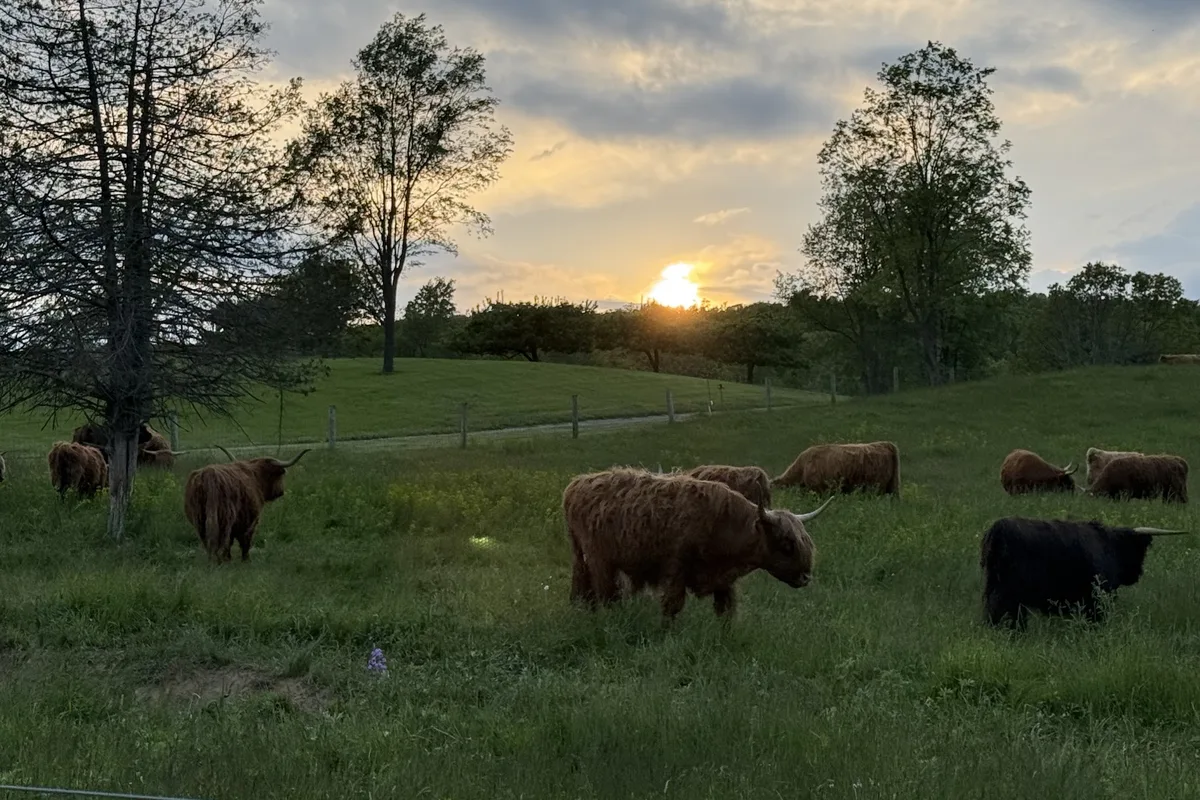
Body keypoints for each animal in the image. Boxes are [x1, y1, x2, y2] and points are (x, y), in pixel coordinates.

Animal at [183, 445, 311, 563]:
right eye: (279, 476)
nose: (281, 492)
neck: (256, 478)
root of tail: (209, 474)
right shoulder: (250, 522)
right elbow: (245, 541)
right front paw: (246, 560)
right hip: (225, 518)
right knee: (223, 540)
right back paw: (222, 560)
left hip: (199, 519)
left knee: (207, 540)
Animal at [562, 467, 833, 622]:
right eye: (787, 543)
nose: (805, 577)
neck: (726, 525)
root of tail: (576, 485)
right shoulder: (675, 569)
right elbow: (672, 607)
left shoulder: (723, 580)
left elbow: (726, 610)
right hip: (599, 560)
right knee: (606, 593)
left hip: (581, 558)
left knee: (582, 588)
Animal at [980, 516, 1188, 629]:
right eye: (1138, 550)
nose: (1138, 573)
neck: (1109, 545)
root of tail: (999, 529)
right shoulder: (1097, 598)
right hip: (1010, 593)